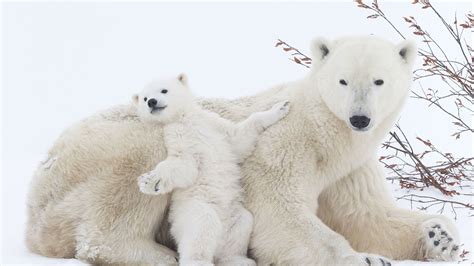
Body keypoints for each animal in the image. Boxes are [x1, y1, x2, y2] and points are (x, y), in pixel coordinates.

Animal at [132, 73, 288, 266]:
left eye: (164, 90)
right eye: (144, 98)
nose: (152, 102)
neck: (185, 119)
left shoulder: (213, 124)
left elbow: (238, 139)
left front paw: (281, 107)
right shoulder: (176, 136)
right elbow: (185, 165)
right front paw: (150, 181)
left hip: (234, 214)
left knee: (241, 226)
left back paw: (239, 260)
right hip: (194, 209)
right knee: (201, 227)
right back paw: (199, 261)